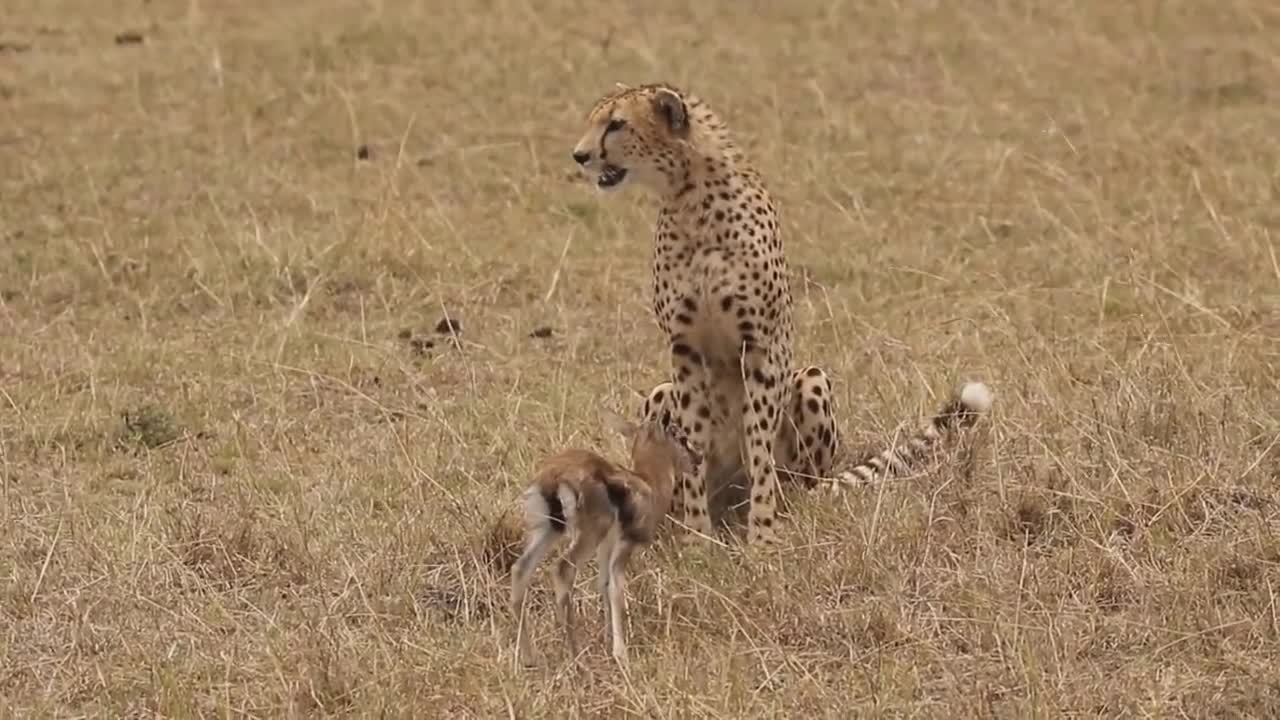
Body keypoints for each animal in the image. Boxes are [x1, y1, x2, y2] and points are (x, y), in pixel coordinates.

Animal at [573, 82, 998, 543]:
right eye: (596, 120)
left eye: (617, 124)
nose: (579, 155)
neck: (690, 198)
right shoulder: (684, 349)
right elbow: (694, 443)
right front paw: (698, 535)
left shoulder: (762, 345)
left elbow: (759, 446)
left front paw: (762, 535)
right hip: (661, 391)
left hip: (810, 382)